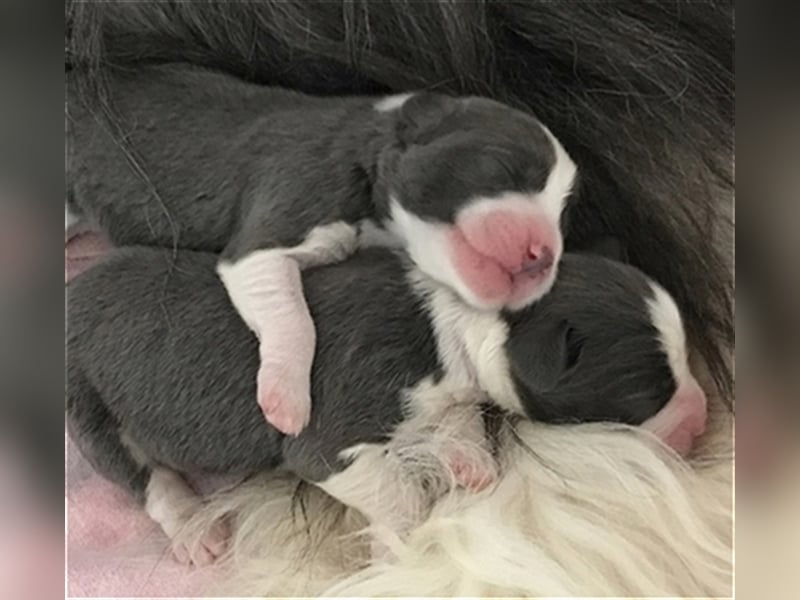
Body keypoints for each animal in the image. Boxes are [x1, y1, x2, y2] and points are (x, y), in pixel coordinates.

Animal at [62, 64, 576, 436]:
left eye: (562, 213)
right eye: (502, 165)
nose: (543, 254)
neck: (367, 145)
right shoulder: (281, 218)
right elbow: (293, 319)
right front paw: (286, 400)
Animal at [69, 238, 708, 564]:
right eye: (644, 393)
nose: (703, 421)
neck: (455, 324)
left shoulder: (449, 394)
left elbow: (455, 418)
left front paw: (469, 462)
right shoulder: (330, 438)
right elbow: (392, 489)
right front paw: (397, 542)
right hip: (89, 403)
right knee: (143, 476)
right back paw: (193, 530)